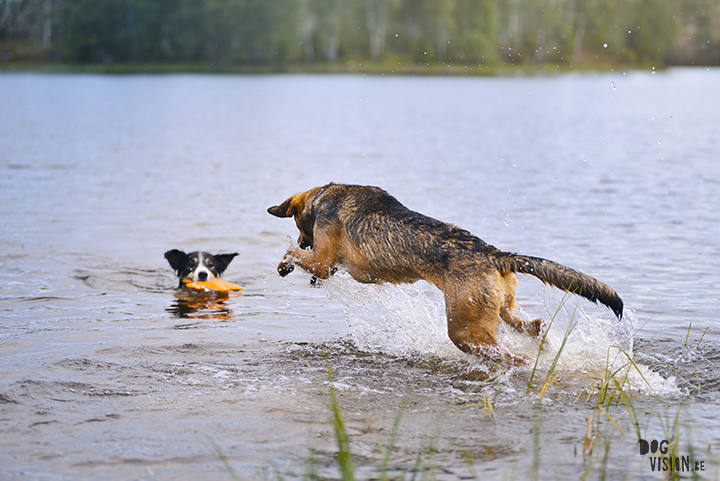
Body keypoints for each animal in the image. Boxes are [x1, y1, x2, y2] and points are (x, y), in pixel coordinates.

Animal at [268, 182, 620, 362]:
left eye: (299, 226)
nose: (304, 240)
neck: (323, 197)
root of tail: (496, 255)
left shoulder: (325, 262)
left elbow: (292, 255)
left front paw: (285, 263)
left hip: (465, 330)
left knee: (511, 355)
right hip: (501, 311)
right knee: (534, 327)